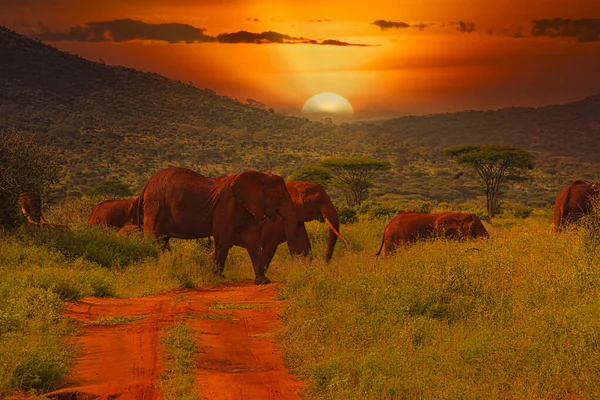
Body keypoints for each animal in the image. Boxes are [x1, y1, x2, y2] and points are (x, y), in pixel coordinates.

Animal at [133, 166, 308, 284]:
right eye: (280, 197)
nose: (299, 263)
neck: (259, 176)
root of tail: (145, 186)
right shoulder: (227, 204)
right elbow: (223, 238)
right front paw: (219, 278)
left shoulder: (248, 207)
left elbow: (252, 240)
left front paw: (263, 281)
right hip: (155, 207)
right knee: (154, 240)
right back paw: (152, 269)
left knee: (162, 241)